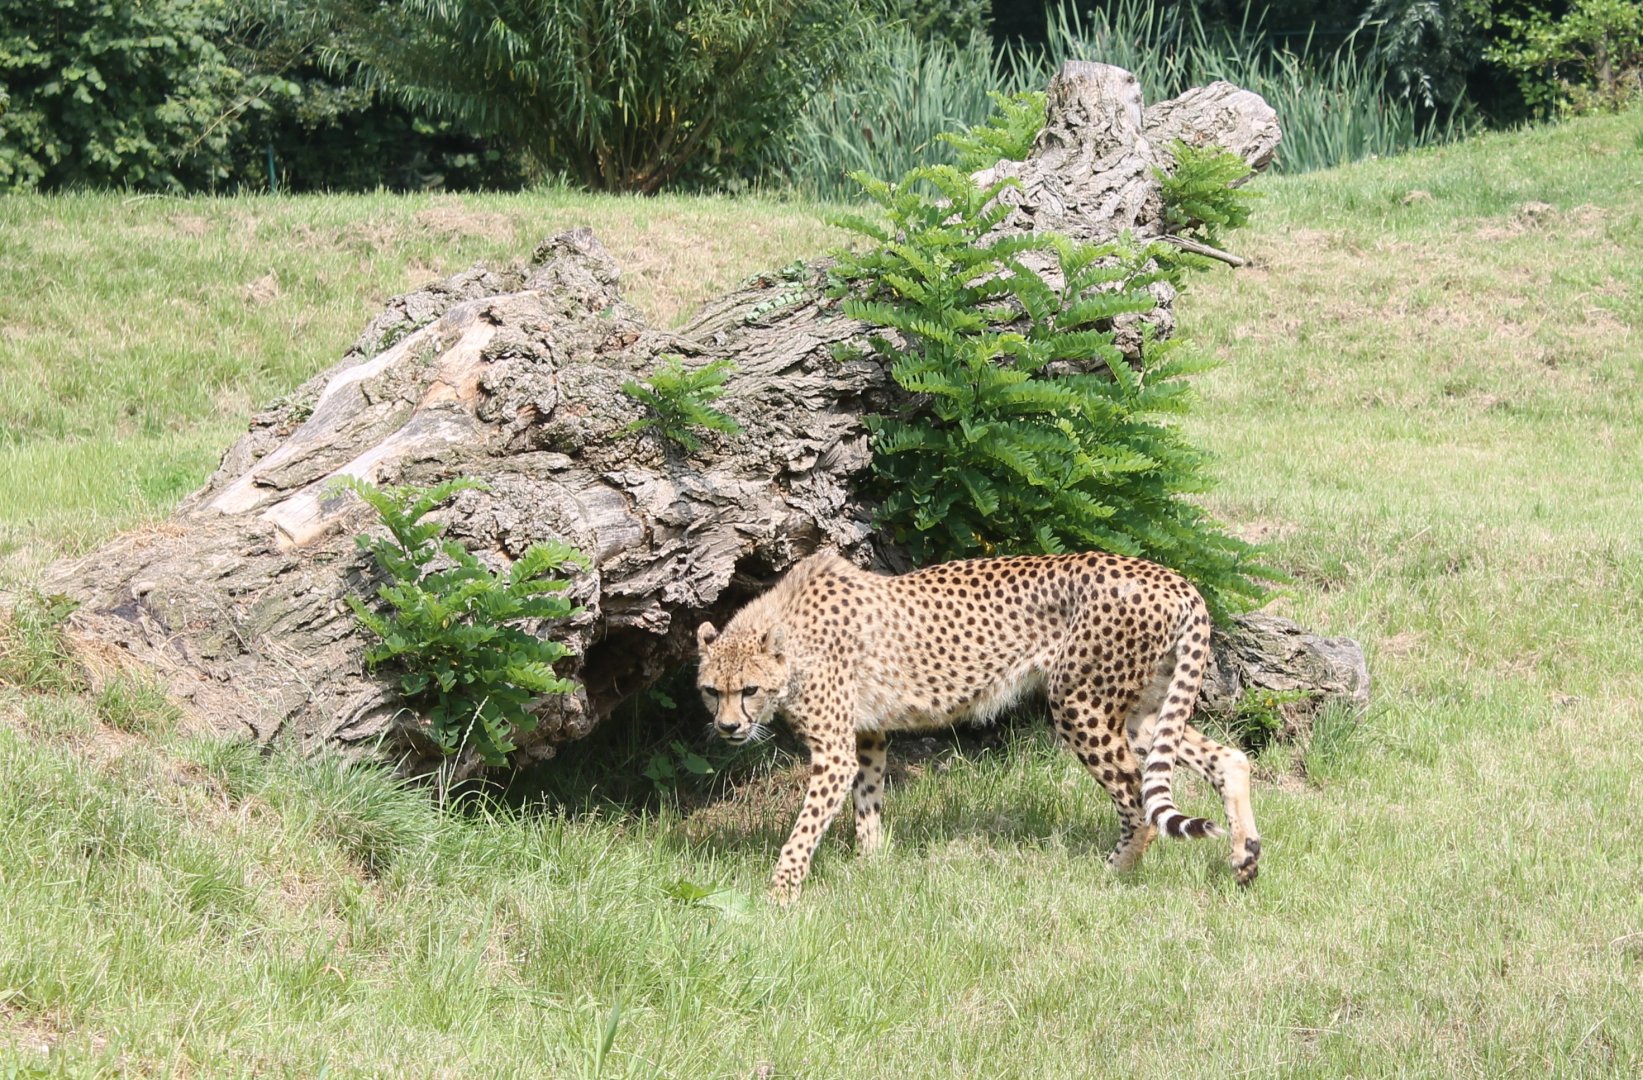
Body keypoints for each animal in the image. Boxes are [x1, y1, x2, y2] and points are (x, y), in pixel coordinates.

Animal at [696, 549, 1261, 904]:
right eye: (710, 690)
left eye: (749, 690)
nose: (727, 729)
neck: (788, 635)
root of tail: (1169, 575)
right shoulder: (867, 735)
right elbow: (868, 801)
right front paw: (870, 867)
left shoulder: (835, 751)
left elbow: (805, 828)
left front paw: (779, 896)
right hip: (1143, 710)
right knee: (1228, 758)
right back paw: (1246, 857)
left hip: (1080, 703)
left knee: (1136, 800)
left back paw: (1112, 876)